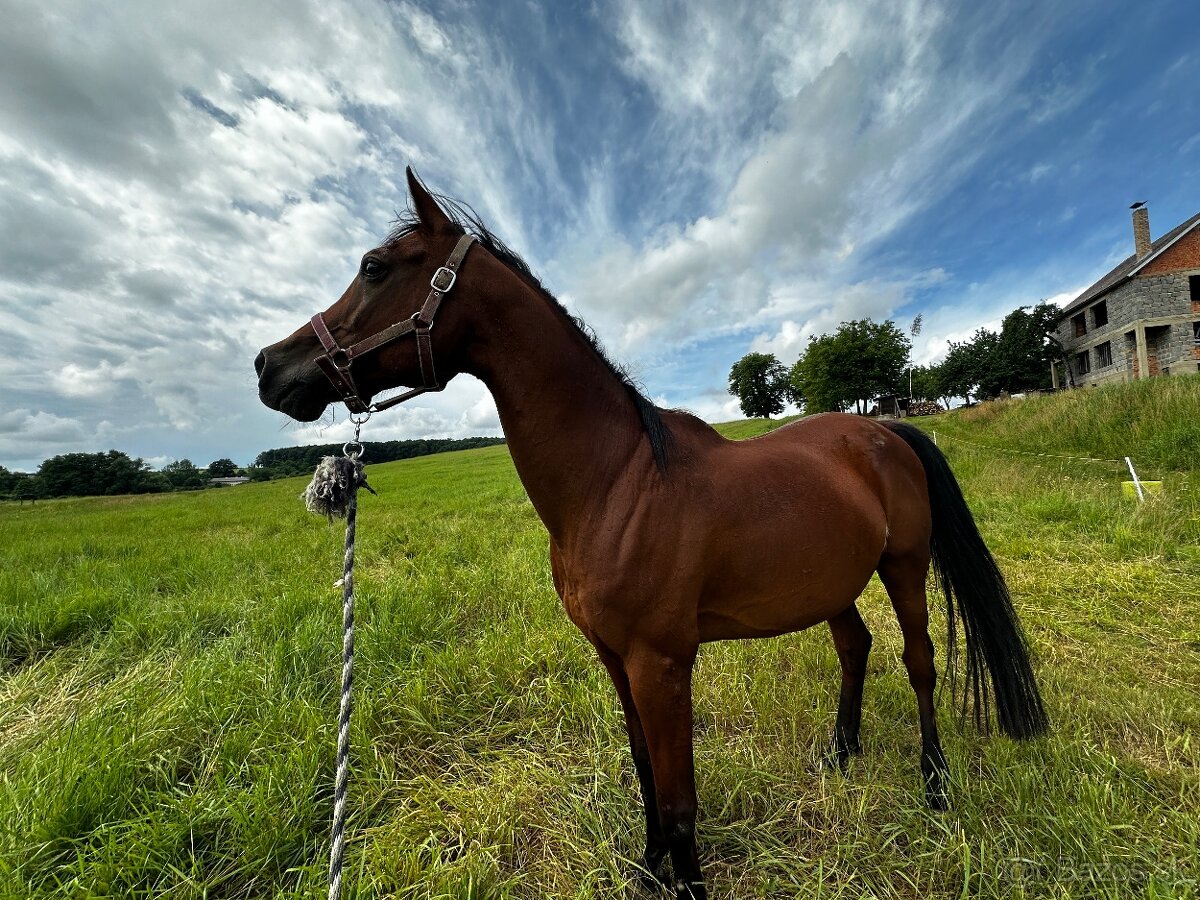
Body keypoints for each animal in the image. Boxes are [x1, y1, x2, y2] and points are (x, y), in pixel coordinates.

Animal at [258, 170, 1046, 900]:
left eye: (374, 267)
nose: (271, 367)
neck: (615, 483)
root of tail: (885, 429)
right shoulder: (615, 659)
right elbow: (644, 774)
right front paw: (648, 868)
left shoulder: (661, 664)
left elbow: (679, 798)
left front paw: (686, 882)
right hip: (831, 583)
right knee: (856, 647)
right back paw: (840, 753)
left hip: (904, 566)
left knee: (920, 662)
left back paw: (935, 785)